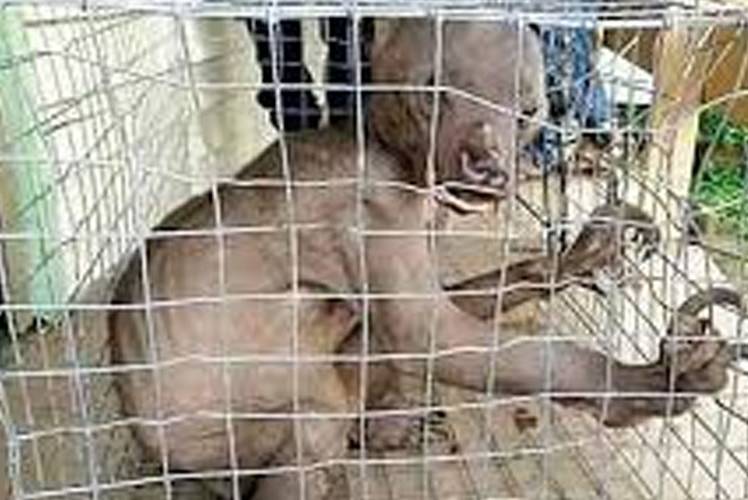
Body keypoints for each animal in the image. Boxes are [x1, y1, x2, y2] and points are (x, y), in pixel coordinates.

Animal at [109, 20, 732, 499]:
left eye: (529, 108)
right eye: (434, 90)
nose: (487, 165)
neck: (396, 162)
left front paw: (581, 255)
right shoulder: (366, 212)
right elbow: (441, 336)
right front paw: (647, 385)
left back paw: (382, 430)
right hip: (230, 443)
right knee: (315, 429)